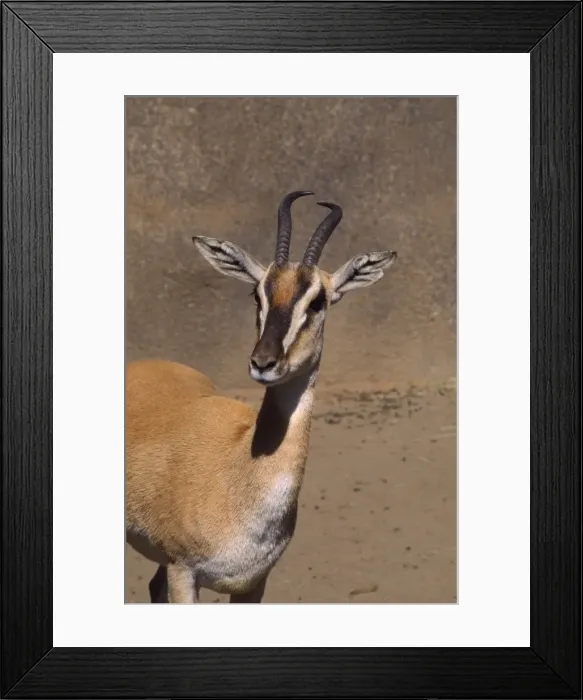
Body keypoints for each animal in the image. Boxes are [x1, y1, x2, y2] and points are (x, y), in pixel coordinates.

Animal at [126, 191, 397, 603]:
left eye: (318, 301)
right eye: (258, 293)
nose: (263, 362)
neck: (241, 467)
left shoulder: (254, 583)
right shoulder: (183, 572)